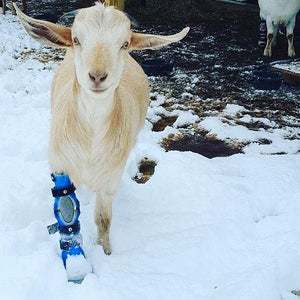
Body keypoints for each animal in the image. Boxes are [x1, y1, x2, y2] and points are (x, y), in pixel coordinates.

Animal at [14, 2, 189, 255]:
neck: (91, 138)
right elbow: (66, 204)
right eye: (76, 39)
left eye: (124, 44)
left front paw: (104, 250)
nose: (97, 76)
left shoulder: (110, 178)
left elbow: (103, 219)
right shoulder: (60, 164)